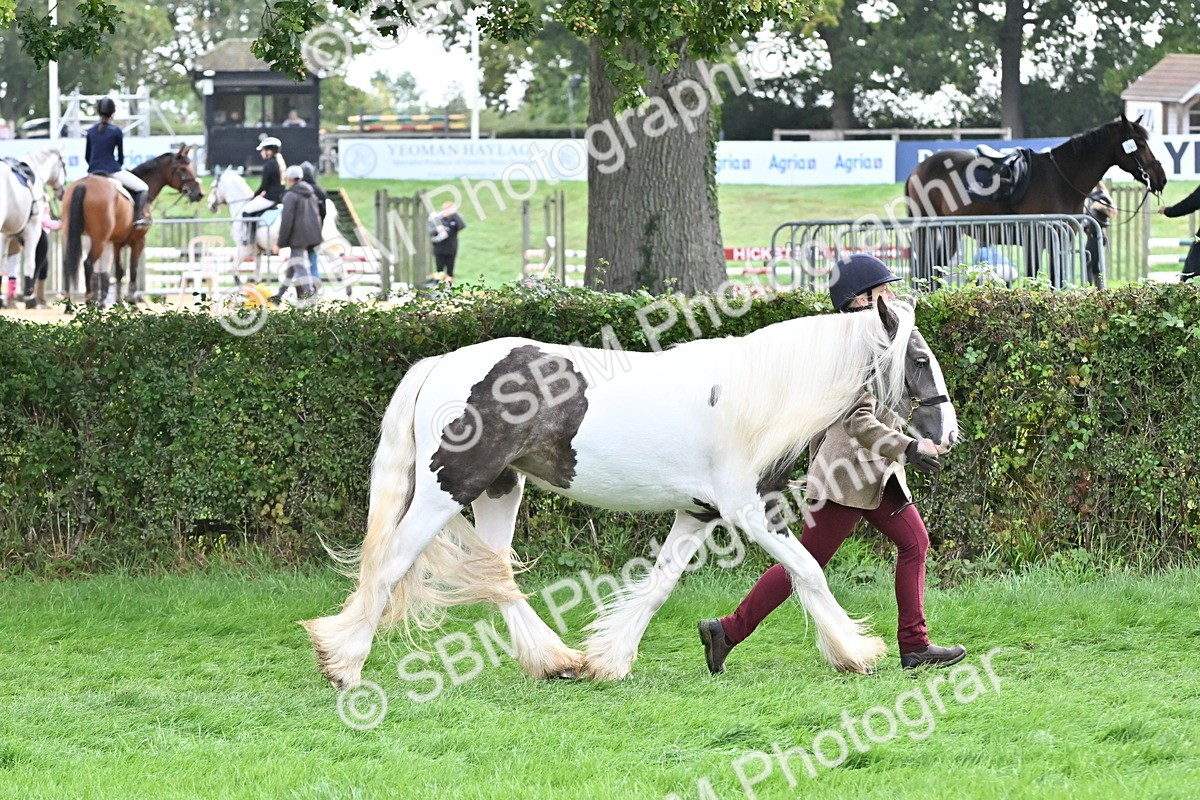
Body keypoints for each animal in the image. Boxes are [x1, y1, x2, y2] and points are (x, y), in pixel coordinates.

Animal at [0, 149, 66, 308]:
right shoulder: (33, 231)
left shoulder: (6, 235)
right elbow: (31, 263)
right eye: (64, 165)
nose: (63, 192)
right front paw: (30, 297)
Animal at [62, 145, 204, 305]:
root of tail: (83, 184)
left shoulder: (117, 242)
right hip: (99, 240)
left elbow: (119, 272)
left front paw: (118, 303)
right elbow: (133, 270)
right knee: (88, 264)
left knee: (68, 264)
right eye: (183, 169)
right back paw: (89, 302)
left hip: (71, 234)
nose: (199, 194)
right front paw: (132, 303)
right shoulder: (138, 241)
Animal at [303, 298, 959, 691]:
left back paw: (556, 662)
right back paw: (346, 668)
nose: (946, 436)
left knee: (497, 575)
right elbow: (808, 573)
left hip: (500, 490)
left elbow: (659, 585)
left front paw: (610, 660)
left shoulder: (698, 513)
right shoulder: (749, 511)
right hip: (447, 490)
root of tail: (441, 364)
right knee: (392, 565)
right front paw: (856, 652)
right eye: (919, 358)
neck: (754, 398)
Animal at [904, 114, 1168, 283]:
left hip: (949, 231)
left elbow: (1054, 277)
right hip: (927, 229)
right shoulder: (1036, 236)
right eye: (1140, 144)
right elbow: (1035, 275)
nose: (1161, 178)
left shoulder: (1059, 238)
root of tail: (918, 168)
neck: (1060, 178)